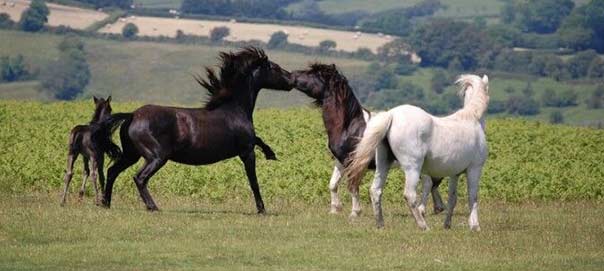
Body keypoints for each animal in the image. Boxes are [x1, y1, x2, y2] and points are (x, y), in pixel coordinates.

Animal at [90, 47, 294, 214]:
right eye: (275, 68)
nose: (291, 80)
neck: (235, 109)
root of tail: (132, 116)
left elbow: (259, 142)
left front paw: (271, 153)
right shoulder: (246, 152)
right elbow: (254, 181)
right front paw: (262, 209)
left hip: (132, 154)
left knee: (112, 171)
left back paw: (106, 203)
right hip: (156, 156)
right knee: (139, 178)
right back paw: (153, 207)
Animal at [290, 62, 446, 218]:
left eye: (313, 74)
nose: (292, 75)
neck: (349, 127)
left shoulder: (353, 162)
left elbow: (352, 185)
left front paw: (355, 212)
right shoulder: (341, 161)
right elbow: (333, 184)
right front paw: (335, 209)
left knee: (428, 183)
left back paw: (422, 209)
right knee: (433, 182)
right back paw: (438, 207)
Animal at [346, 74, 488, 232]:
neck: (472, 118)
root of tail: (392, 115)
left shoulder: (454, 174)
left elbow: (452, 198)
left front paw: (447, 224)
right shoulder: (474, 169)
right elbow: (473, 196)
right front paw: (475, 226)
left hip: (383, 164)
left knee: (375, 191)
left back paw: (380, 224)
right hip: (412, 169)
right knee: (410, 195)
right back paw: (423, 226)